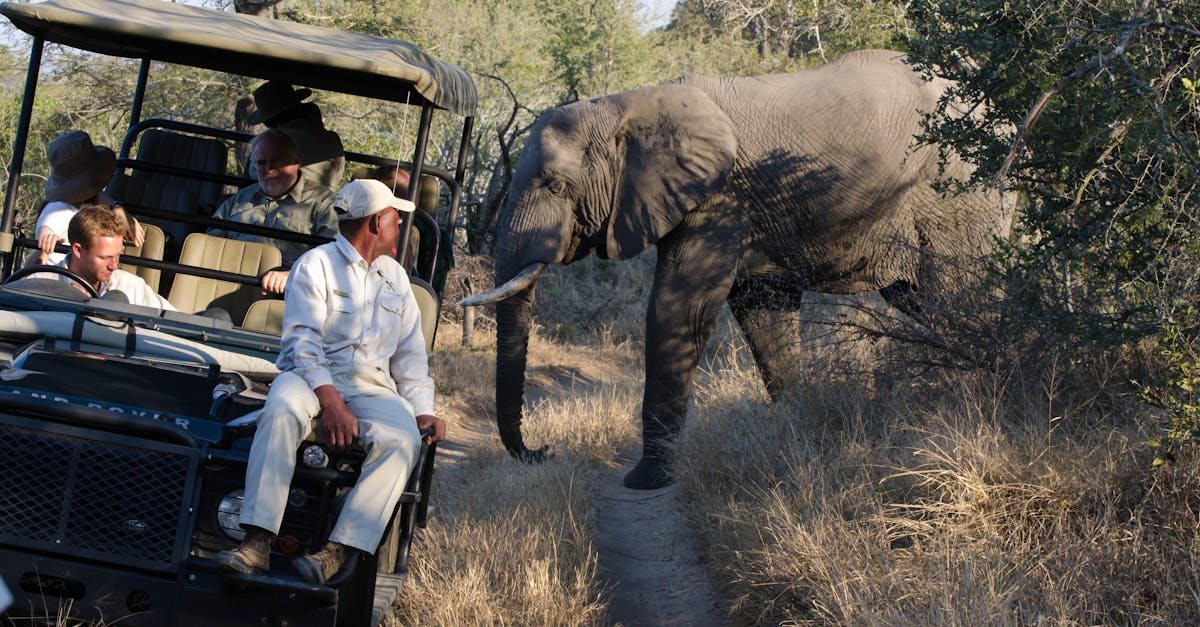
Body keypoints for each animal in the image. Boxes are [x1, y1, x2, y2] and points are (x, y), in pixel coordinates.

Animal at [462, 49, 1016, 490]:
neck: (625, 105)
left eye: (555, 186)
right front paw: (792, 429)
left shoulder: (719, 197)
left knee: (961, 296)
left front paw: (646, 480)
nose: (542, 451)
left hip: (958, 196)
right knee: (927, 300)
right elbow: (762, 312)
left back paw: (982, 403)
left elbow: (678, 310)